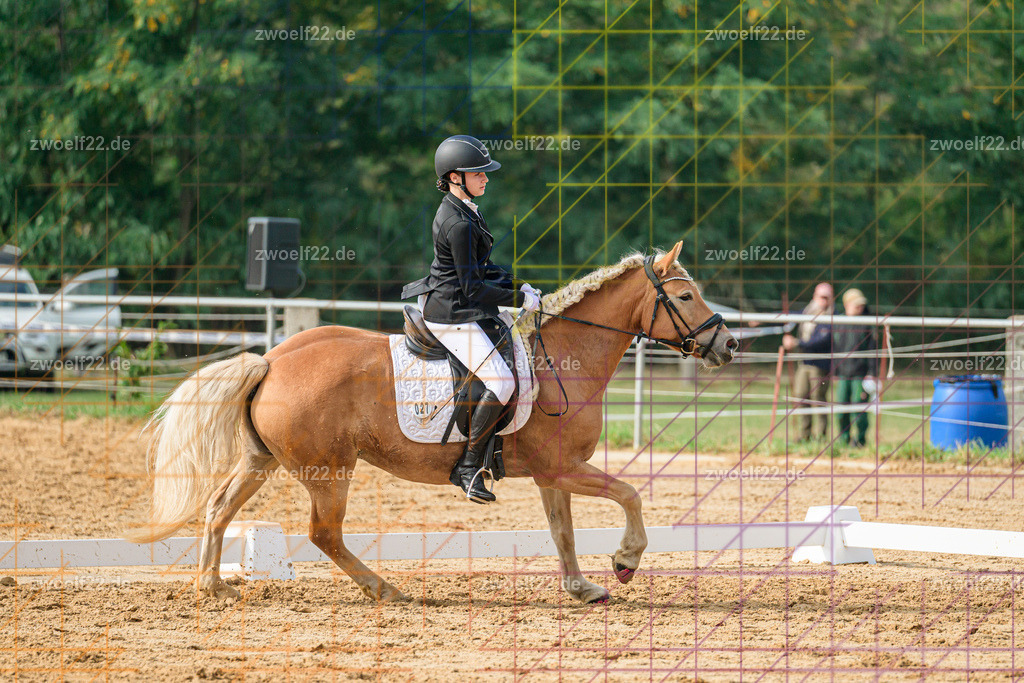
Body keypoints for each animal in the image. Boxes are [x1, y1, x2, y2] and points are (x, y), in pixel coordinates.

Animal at [127, 240, 737, 604]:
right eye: (685, 295)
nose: (728, 345)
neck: (565, 355)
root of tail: (272, 359)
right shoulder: (564, 467)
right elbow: (630, 494)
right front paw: (625, 561)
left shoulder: (552, 473)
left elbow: (562, 529)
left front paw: (580, 586)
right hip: (329, 470)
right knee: (324, 532)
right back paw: (387, 590)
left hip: (263, 460)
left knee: (218, 508)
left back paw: (211, 587)